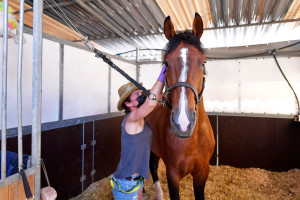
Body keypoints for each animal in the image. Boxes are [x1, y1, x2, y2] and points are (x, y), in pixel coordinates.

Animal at [146, 13, 214, 199]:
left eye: (203, 63)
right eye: (166, 64)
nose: (183, 123)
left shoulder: (202, 172)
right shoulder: (173, 174)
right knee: (152, 167)